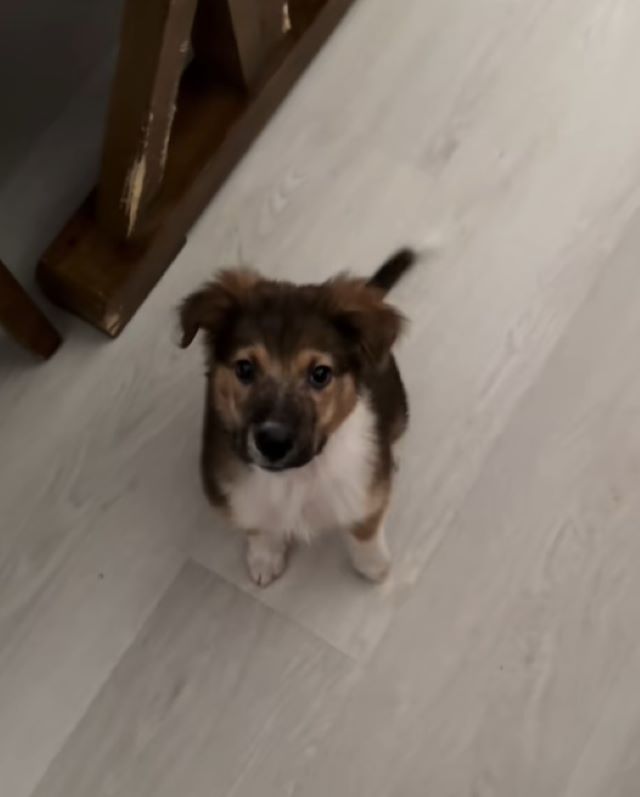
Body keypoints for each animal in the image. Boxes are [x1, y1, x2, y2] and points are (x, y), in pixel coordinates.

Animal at [179, 247, 416, 584]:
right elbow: (258, 525)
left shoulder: (365, 491)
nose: (272, 442)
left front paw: (374, 565)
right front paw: (265, 558)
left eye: (320, 374)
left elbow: (364, 528)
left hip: (398, 407)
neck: (294, 479)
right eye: (244, 368)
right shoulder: (236, 495)